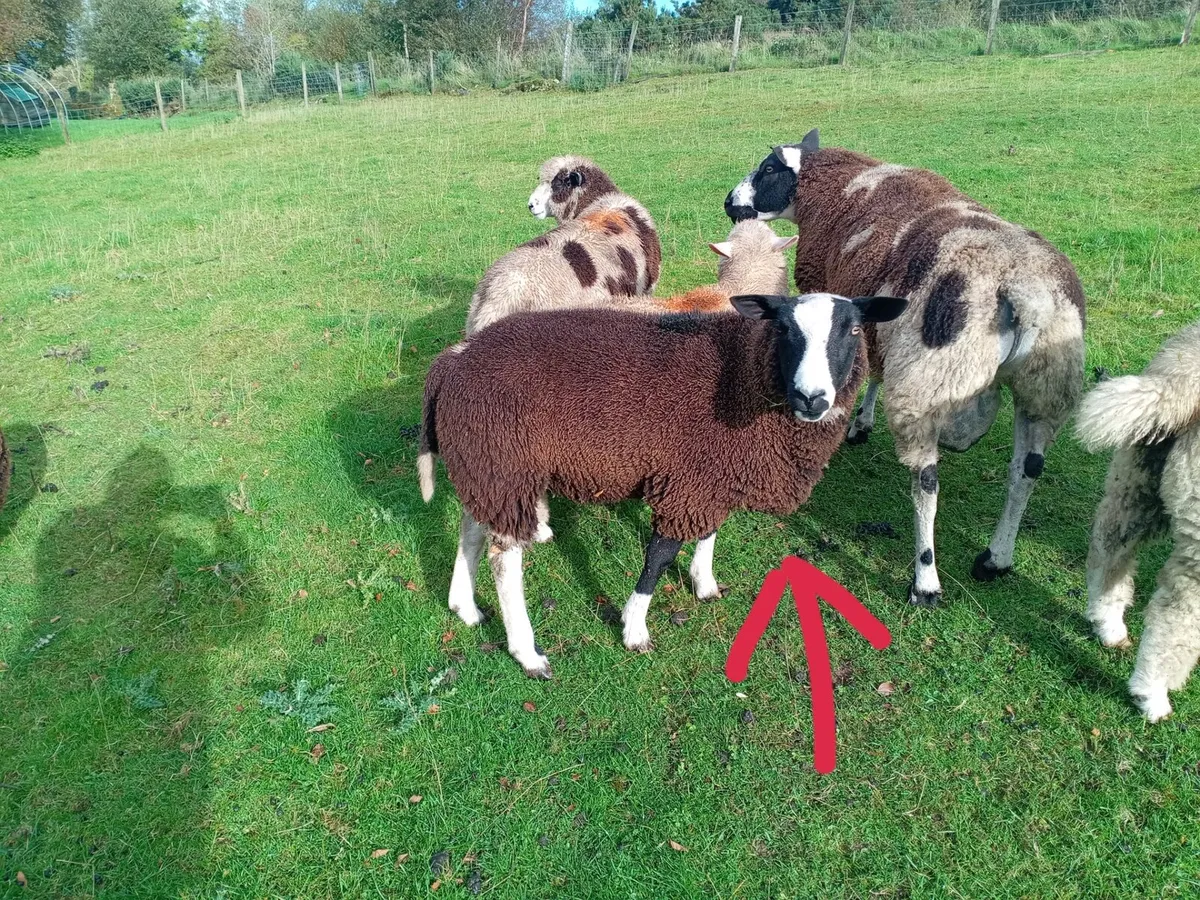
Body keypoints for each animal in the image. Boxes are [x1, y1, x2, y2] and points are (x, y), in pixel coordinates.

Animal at [418, 293, 907, 677]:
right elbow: (659, 557)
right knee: (505, 558)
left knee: (472, 529)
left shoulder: (711, 475)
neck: (744, 373)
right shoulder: (688, 479)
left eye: (855, 329)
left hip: (485, 465)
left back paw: (465, 607)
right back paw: (527, 652)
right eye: (784, 328)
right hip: (504, 464)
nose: (813, 398)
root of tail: (453, 359)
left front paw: (704, 583)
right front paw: (635, 628)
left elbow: (709, 532)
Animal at [725, 129, 1086, 607]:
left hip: (929, 381)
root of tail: (1022, 290)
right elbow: (876, 369)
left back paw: (925, 580)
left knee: (927, 482)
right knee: (1026, 469)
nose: (730, 203)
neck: (836, 187)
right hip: (1046, 386)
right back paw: (996, 558)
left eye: (767, 168)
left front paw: (850, 420)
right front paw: (862, 421)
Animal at [1077, 321, 1200, 722]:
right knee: (1177, 614)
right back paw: (1152, 694)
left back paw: (1108, 623)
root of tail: (1183, 377)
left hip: (1137, 474)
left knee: (1110, 547)